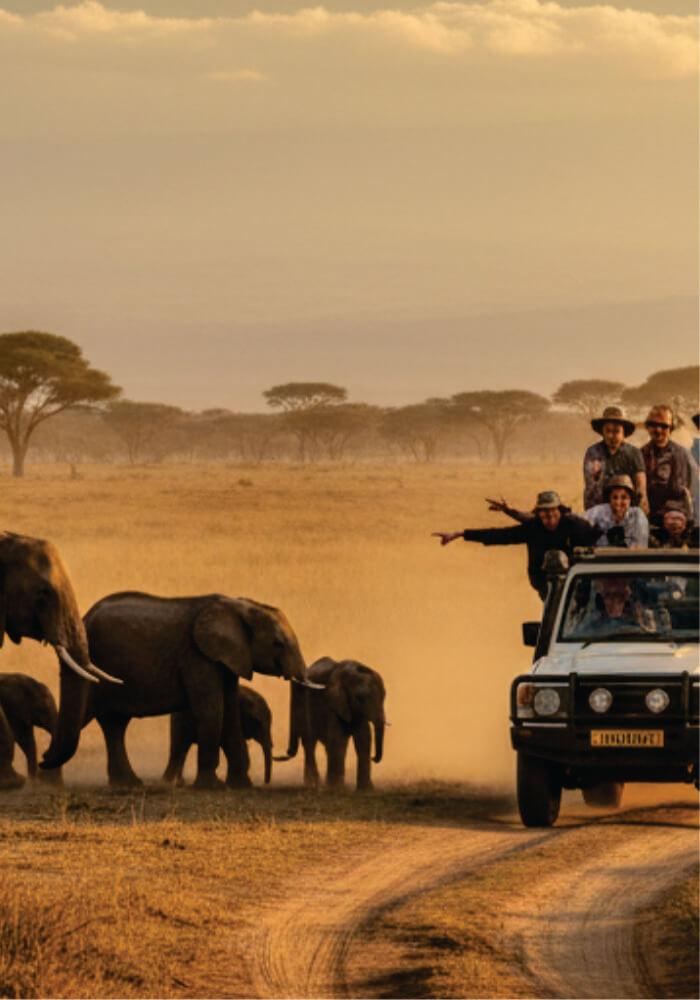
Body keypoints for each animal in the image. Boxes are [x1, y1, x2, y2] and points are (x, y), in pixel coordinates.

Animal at [46, 591, 310, 788]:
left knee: (114, 724)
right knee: (90, 719)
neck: (238, 605)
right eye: (278, 644)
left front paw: (241, 786)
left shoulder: (226, 660)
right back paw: (47, 777)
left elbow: (229, 711)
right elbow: (211, 709)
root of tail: (84, 617)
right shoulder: (196, 656)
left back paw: (126, 783)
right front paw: (211, 787)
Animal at [278, 657, 386, 791]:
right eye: (360, 699)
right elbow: (338, 740)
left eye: (384, 696)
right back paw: (314, 785)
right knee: (310, 743)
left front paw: (366, 790)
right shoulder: (333, 703)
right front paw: (336, 788)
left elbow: (364, 739)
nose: (374, 758)